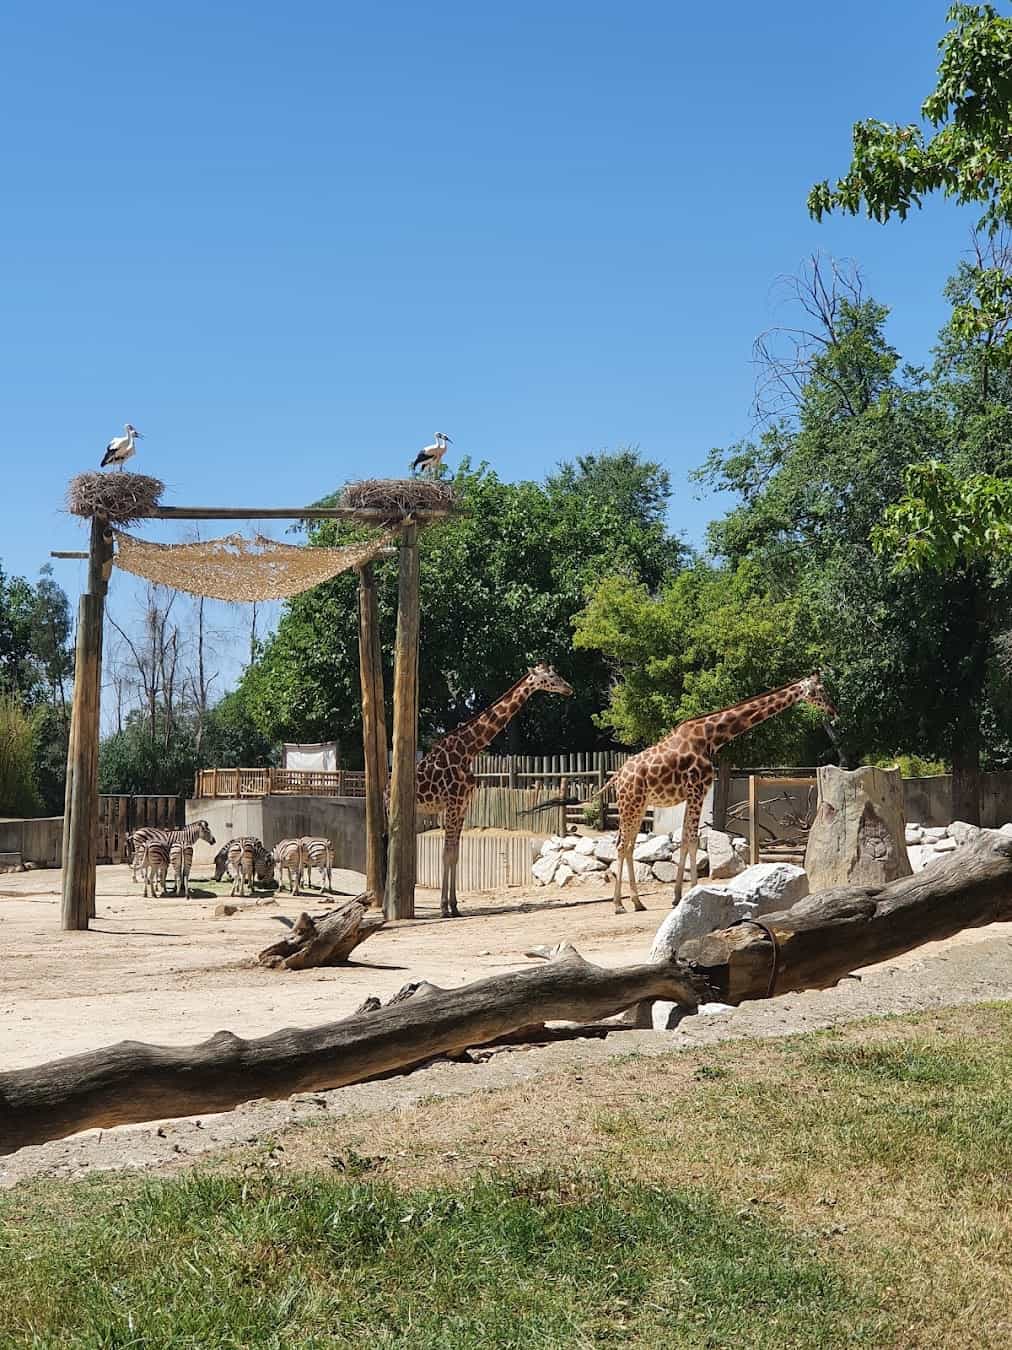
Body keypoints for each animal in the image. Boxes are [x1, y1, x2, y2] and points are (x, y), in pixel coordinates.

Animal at [413, 664, 573, 917]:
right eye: (550, 677)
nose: (568, 688)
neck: (468, 751)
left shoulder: (463, 805)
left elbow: (454, 854)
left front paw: (454, 907)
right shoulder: (453, 803)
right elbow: (446, 854)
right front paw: (443, 909)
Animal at [603, 674, 837, 914]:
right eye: (821, 690)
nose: (834, 711)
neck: (710, 738)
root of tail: (618, 776)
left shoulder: (692, 794)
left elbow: (686, 840)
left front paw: (678, 897)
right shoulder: (697, 790)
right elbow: (692, 840)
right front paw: (694, 892)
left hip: (638, 805)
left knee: (629, 845)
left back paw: (637, 902)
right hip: (631, 804)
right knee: (622, 845)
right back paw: (618, 905)